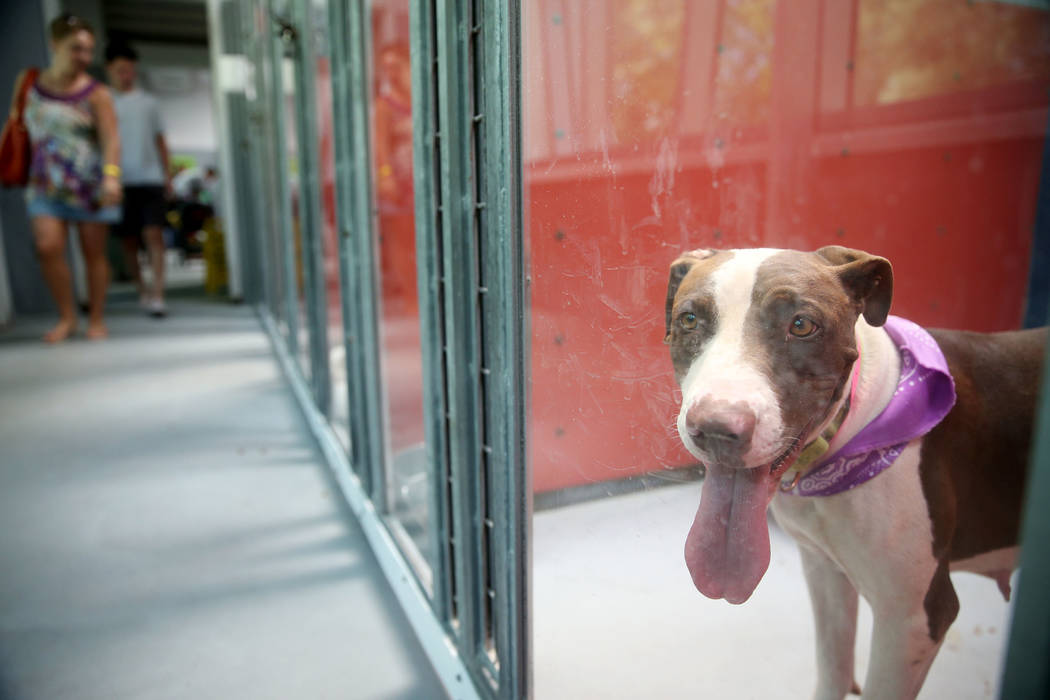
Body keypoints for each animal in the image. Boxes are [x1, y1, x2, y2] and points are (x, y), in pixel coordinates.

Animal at [663, 247, 1041, 700]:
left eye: (802, 325)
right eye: (689, 319)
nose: (718, 430)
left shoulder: (911, 620)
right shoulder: (825, 572)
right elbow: (834, 667)